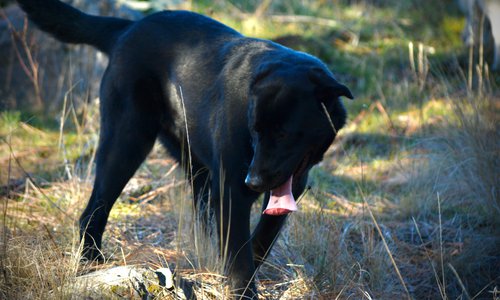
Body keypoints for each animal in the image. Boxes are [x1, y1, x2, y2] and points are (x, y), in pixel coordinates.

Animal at [18, 0, 352, 298]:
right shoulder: (231, 189)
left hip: (196, 167)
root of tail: (128, 28)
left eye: (284, 134)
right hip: (127, 142)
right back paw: (91, 263)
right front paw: (242, 291)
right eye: (255, 131)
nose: (253, 181)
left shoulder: (290, 183)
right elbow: (239, 254)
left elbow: (260, 239)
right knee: (94, 209)